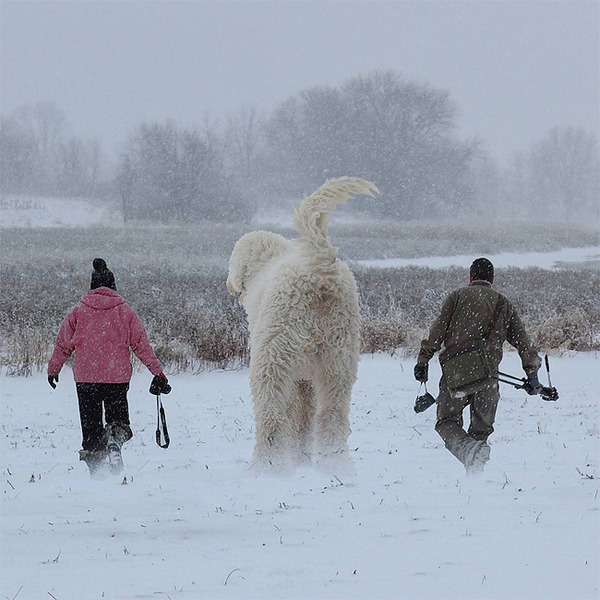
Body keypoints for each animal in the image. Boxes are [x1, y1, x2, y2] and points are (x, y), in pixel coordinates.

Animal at [227, 176, 378, 472]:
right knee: (333, 414)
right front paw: (301, 459)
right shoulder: (304, 378)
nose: (230, 285)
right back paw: (335, 464)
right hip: (339, 357)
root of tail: (321, 271)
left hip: (275, 351)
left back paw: (266, 466)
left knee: (271, 412)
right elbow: (304, 414)